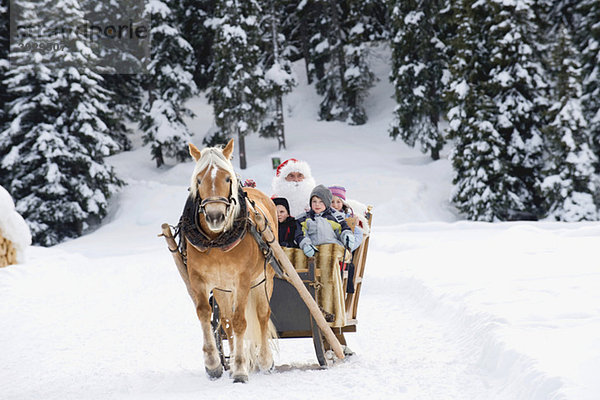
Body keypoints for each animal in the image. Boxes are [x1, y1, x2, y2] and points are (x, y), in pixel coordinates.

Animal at [185, 139, 276, 382]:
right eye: (199, 180)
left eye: (227, 178)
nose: (215, 216)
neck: (217, 242)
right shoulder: (199, 279)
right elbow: (206, 314)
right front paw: (213, 364)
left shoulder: (243, 280)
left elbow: (240, 322)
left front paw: (241, 369)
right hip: (223, 288)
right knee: (225, 322)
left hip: (264, 279)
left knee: (262, 315)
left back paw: (264, 360)